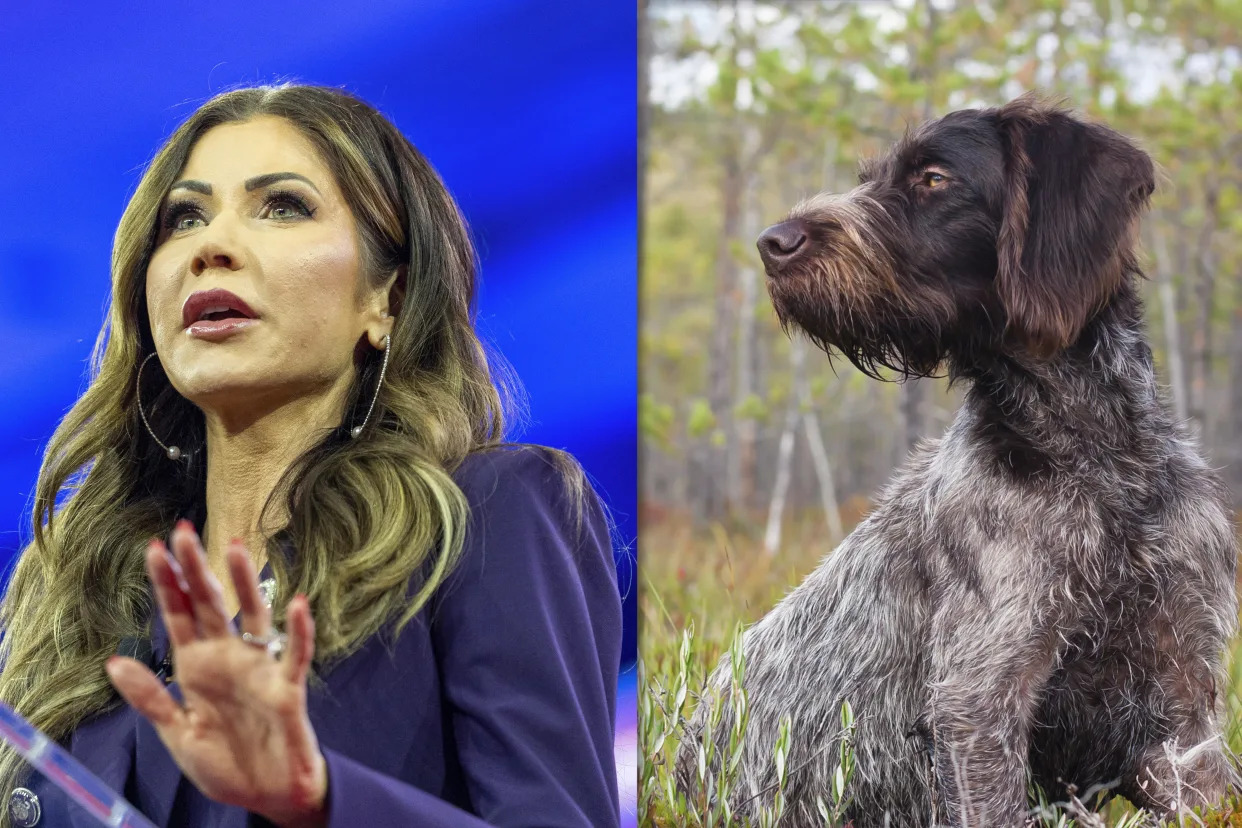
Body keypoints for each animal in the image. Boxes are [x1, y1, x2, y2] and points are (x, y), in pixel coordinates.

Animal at [680, 93, 1242, 824]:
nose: (773, 243)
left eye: (933, 178)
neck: (1095, 457)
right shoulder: (980, 700)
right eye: (872, 178)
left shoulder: (1183, 703)